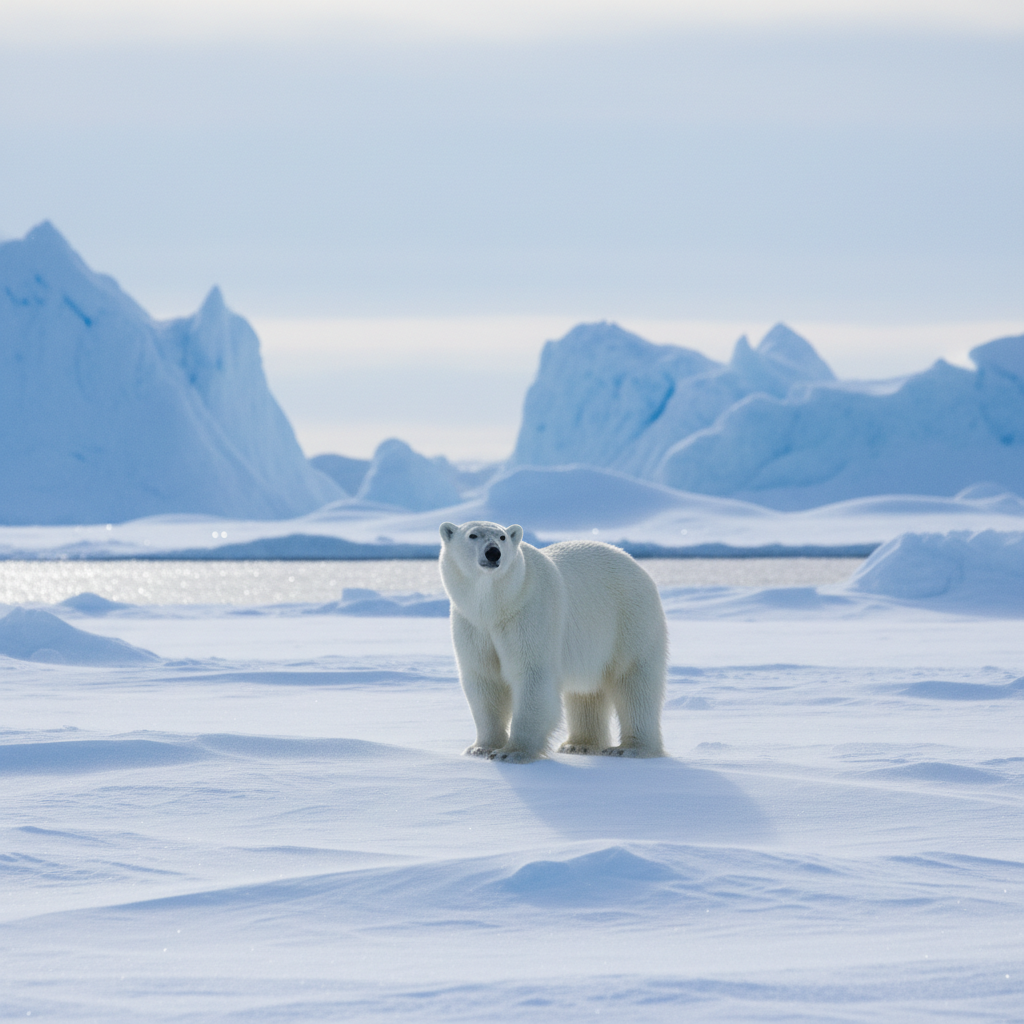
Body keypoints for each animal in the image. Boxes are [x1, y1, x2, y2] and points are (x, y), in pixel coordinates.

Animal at [438, 520, 667, 763]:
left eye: (502, 537)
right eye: (473, 535)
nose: (493, 553)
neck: (497, 607)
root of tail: (637, 565)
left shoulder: (530, 612)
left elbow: (532, 675)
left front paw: (512, 752)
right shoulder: (473, 625)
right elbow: (485, 680)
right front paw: (480, 748)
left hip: (630, 621)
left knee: (634, 683)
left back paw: (630, 748)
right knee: (586, 692)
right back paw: (579, 745)